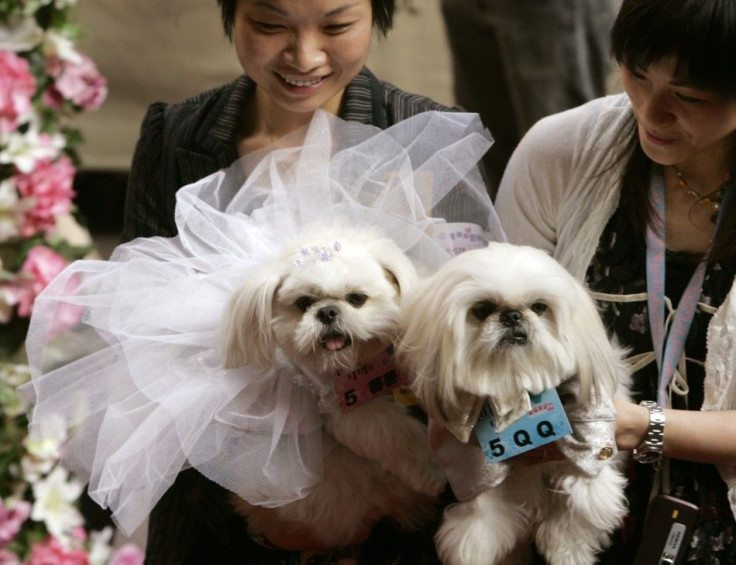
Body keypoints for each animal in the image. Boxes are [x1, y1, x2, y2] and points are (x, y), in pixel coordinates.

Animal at [218, 227, 446, 548]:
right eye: (304, 303)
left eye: (357, 299)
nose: (326, 312)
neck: (364, 363)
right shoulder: (346, 407)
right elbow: (396, 435)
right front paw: (432, 470)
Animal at [400, 241, 628, 564]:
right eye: (482, 309)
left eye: (539, 307)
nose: (511, 316)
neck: (515, 382)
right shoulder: (469, 458)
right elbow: (479, 512)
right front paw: (475, 548)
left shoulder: (590, 430)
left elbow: (583, 503)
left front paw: (567, 552)